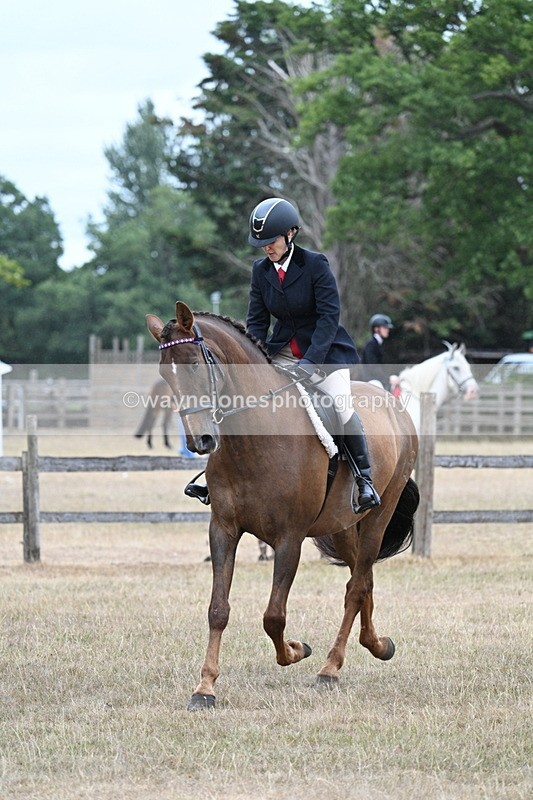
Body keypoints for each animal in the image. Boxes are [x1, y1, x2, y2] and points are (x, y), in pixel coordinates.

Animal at [146, 301, 419, 710]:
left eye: (194, 364)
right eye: (165, 372)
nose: (201, 441)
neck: (254, 437)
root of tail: (394, 406)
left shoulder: (290, 538)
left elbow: (273, 616)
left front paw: (295, 650)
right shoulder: (223, 529)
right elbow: (218, 610)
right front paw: (205, 688)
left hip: (378, 516)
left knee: (356, 586)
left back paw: (330, 668)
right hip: (341, 527)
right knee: (362, 579)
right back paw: (377, 644)